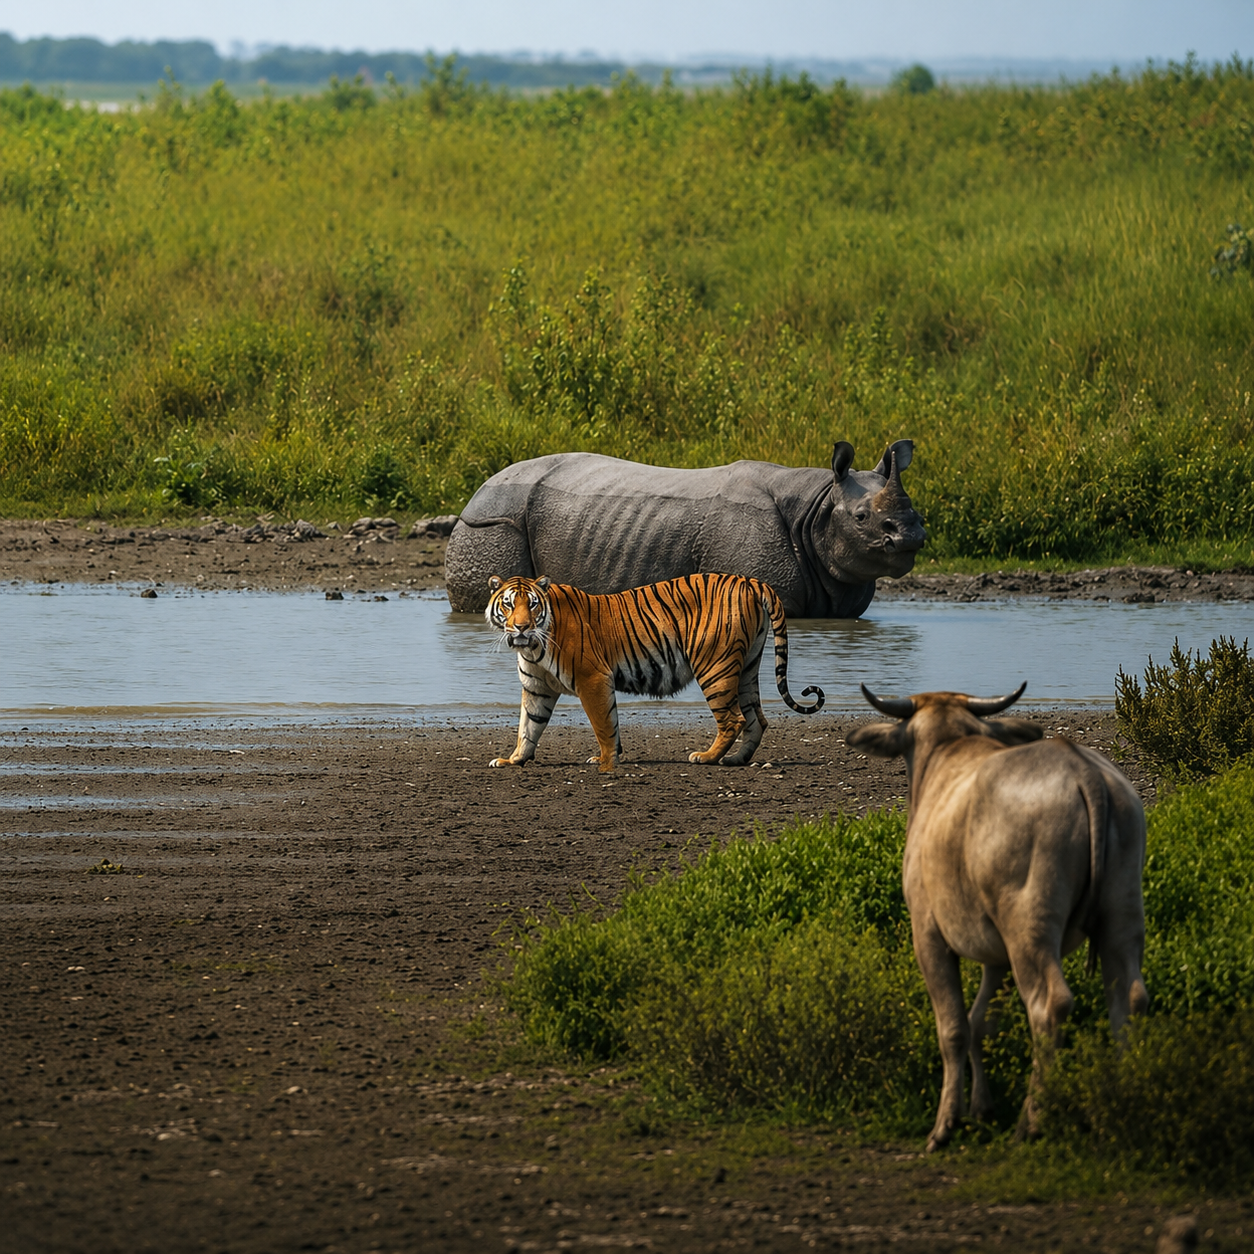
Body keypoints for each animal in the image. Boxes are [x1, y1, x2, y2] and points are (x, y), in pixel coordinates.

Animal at [444, 440, 926, 615]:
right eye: (861, 517)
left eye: (917, 513)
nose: (910, 536)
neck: (817, 505)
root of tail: (476, 491)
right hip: (493, 521)